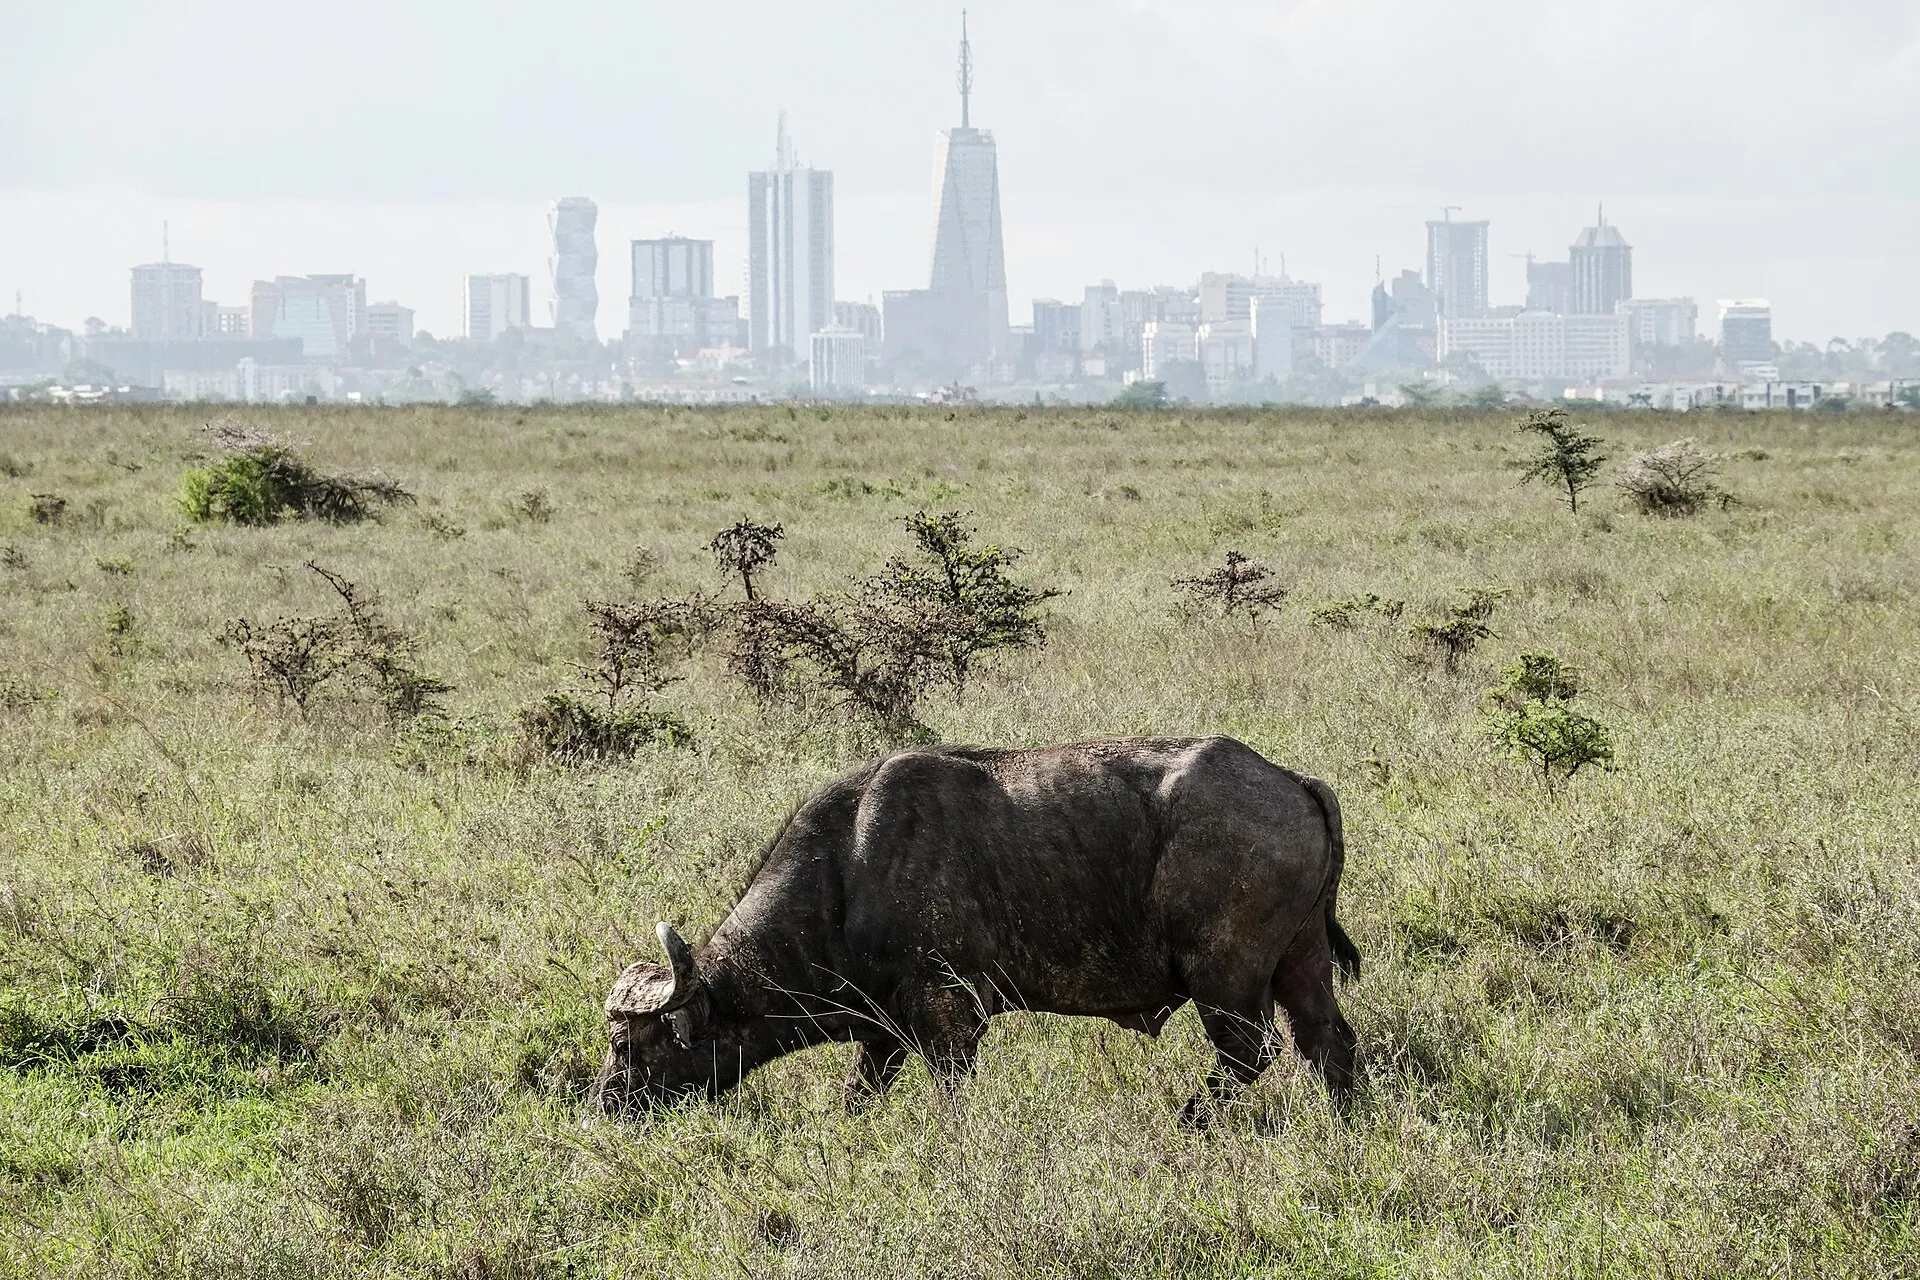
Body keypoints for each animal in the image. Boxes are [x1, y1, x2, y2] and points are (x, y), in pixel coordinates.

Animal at [593, 735, 1358, 1121]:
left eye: (633, 1046)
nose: (602, 1103)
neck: (847, 869)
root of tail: (1291, 779)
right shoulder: (883, 1034)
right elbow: (856, 1098)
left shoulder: (949, 1023)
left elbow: (949, 1098)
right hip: (1301, 962)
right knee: (1327, 1040)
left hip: (1224, 977)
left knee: (1250, 1052)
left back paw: (1189, 1119)